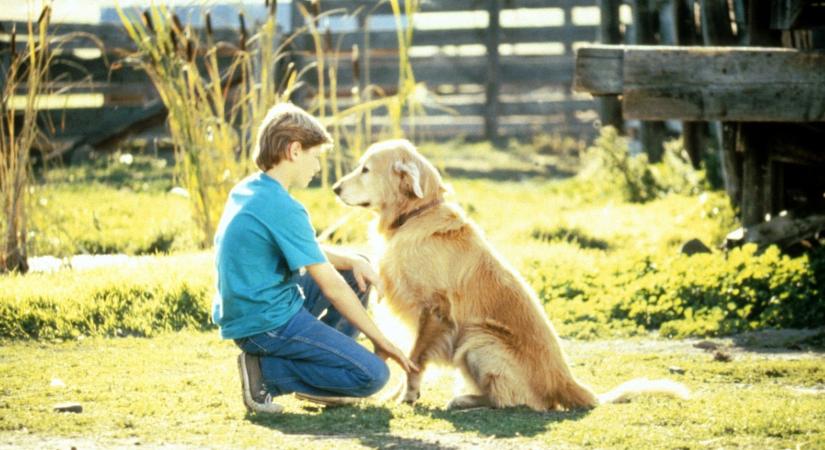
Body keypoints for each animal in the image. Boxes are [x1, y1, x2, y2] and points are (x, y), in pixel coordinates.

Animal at [332, 139, 684, 410]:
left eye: (365, 169)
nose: (334, 188)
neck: (416, 214)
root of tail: (566, 381)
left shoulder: (434, 309)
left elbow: (415, 359)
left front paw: (408, 395)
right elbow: (408, 355)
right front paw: (395, 395)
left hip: (478, 337)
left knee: (518, 402)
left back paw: (467, 401)